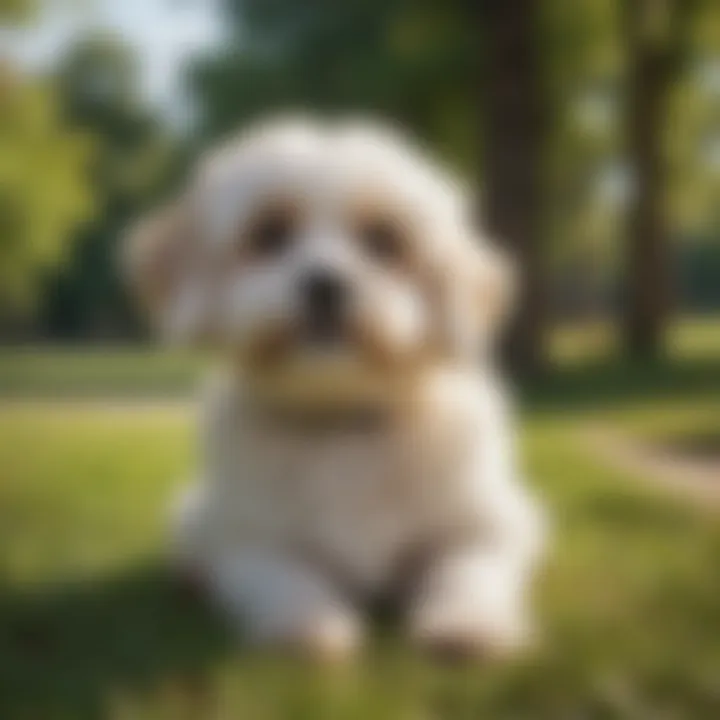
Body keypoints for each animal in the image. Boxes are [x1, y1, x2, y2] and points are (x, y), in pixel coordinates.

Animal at [126, 119, 548, 664]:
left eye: (384, 240)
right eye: (270, 233)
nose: (325, 285)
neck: (341, 422)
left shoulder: (489, 523)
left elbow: (469, 568)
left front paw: (469, 623)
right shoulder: (248, 535)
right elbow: (281, 575)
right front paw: (309, 624)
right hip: (195, 511)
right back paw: (191, 578)